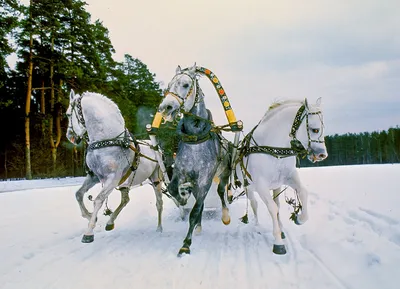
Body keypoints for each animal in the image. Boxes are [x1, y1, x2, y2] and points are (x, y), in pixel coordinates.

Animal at [67, 89, 164, 241]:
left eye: (67, 114)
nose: (69, 136)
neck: (107, 141)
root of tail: (155, 147)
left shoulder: (113, 178)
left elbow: (98, 200)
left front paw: (89, 232)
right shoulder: (94, 176)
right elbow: (78, 194)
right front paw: (90, 216)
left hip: (156, 178)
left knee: (159, 203)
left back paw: (159, 228)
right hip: (126, 183)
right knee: (125, 200)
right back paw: (110, 222)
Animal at [157, 64, 230, 254]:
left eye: (185, 84)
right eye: (169, 85)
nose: (165, 107)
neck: (196, 139)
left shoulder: (205, 178)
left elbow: (195, 210)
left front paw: (186, 244)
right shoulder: (180, 171)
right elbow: (174, 189)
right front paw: (183, 196)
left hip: (223, 173)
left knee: (220, 192)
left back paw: (225, 216)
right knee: (200, 200)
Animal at [236, 98, 326, 253]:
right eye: (315, 129)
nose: (322, 154)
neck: (273, 149)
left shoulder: (289, 176)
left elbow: (303, 192)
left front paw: (299, 218)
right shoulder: (261, 184)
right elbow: (272, 208)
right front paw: (278, 243)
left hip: (276, 186)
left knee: (277, 204)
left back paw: (282, 229)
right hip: (249, 188)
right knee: (254, 204)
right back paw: (257, 226)